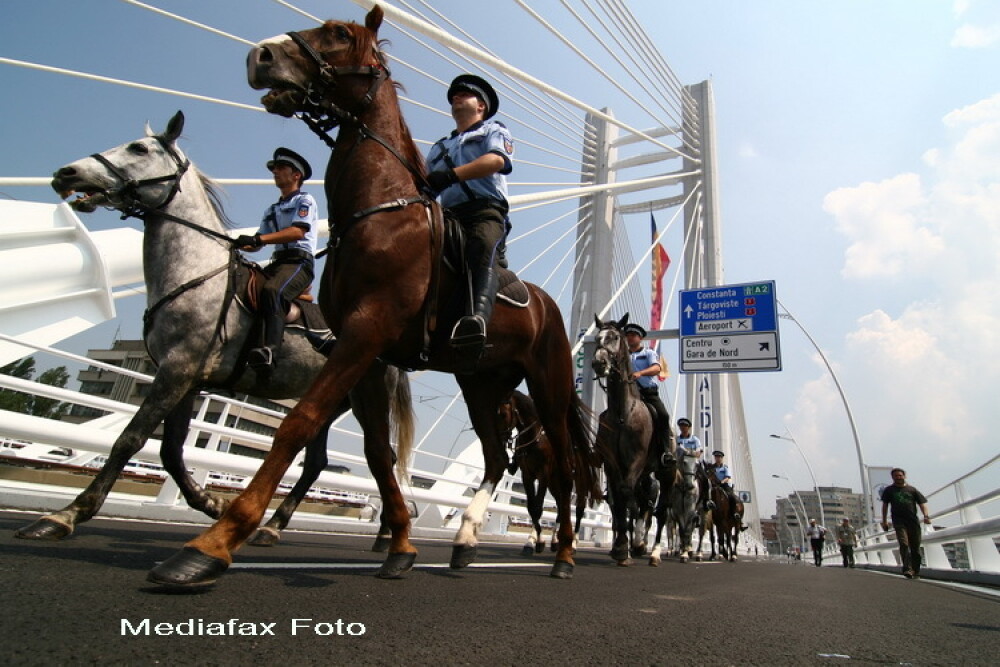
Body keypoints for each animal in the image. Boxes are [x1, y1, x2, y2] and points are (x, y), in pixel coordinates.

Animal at [14, 112, 410, 544]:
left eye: (139, 148)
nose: (66, 173)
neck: (196, 272)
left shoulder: (177, 371)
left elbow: (129, 440)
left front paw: (67, 514)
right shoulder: (183, 379)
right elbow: (170, 450)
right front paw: (210, 502)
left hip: (360, 394)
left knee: (377, 455)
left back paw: (385, 532)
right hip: (333, 397)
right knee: (322, 461)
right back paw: (279, 526)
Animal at [150, 6, 592, 588]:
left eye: (338, 34)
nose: (258, 56)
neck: (377, 212)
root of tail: (549, 306)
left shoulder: (365, 333)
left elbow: (297, 424)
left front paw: (215, 541)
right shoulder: (367, 352)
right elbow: (378, 451)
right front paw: (400, 544)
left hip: (549, 386)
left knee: (562, 471)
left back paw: (562, 555)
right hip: (481, 383)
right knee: (497, 459)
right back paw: (464, 540)